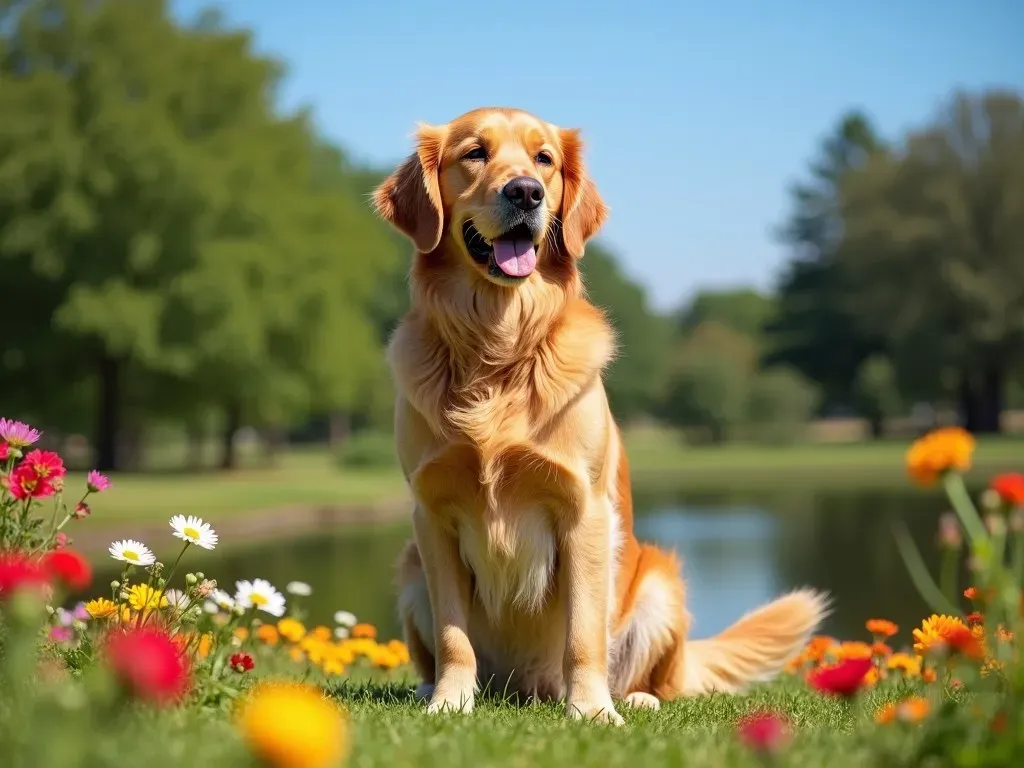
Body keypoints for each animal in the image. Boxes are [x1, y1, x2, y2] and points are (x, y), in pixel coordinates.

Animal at [372, 108, 827, 729]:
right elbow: (452, 637)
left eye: (544, 159)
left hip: (659, 583)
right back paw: (429, 690)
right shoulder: (433, 516)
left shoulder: (583, 509)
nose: (526, 192)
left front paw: (591, 709)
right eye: (474, 153)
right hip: (409, 568)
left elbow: (583, 635)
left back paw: (632, 697)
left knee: (662, 680)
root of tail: (526, 690)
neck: (499, 345)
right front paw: (450, 701)